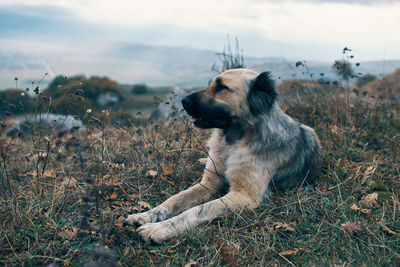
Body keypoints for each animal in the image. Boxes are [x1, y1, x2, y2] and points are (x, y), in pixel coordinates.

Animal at [123, 68, 324, 245]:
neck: (233, 142)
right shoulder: (208, 183)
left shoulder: (243, 196)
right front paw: (145, 215)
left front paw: (159, 228)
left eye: (222, 87)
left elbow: (197, 210)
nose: (183, 100)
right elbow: (174, 200)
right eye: (210, 84)